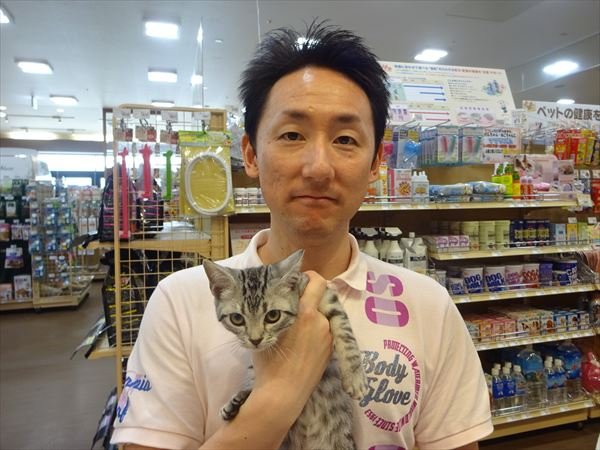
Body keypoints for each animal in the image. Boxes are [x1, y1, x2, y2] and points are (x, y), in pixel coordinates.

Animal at [203, 249, 368, 450]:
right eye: (237, 319)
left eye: (273, 315)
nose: (255, 340)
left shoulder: (327, 297)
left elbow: (345, 331)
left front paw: (355, 378)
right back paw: (235, 404)